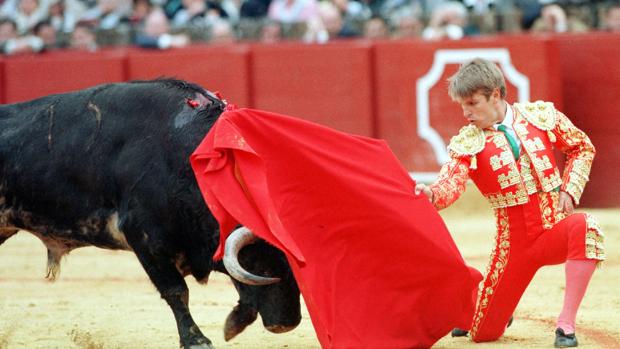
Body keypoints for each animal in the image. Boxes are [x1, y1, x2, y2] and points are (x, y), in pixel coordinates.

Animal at [0, 79, 302, 348]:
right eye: (266, 260)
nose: (287, 324)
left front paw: (231, 325)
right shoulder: (144, 237)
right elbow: (176, 291)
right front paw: (196, 341)